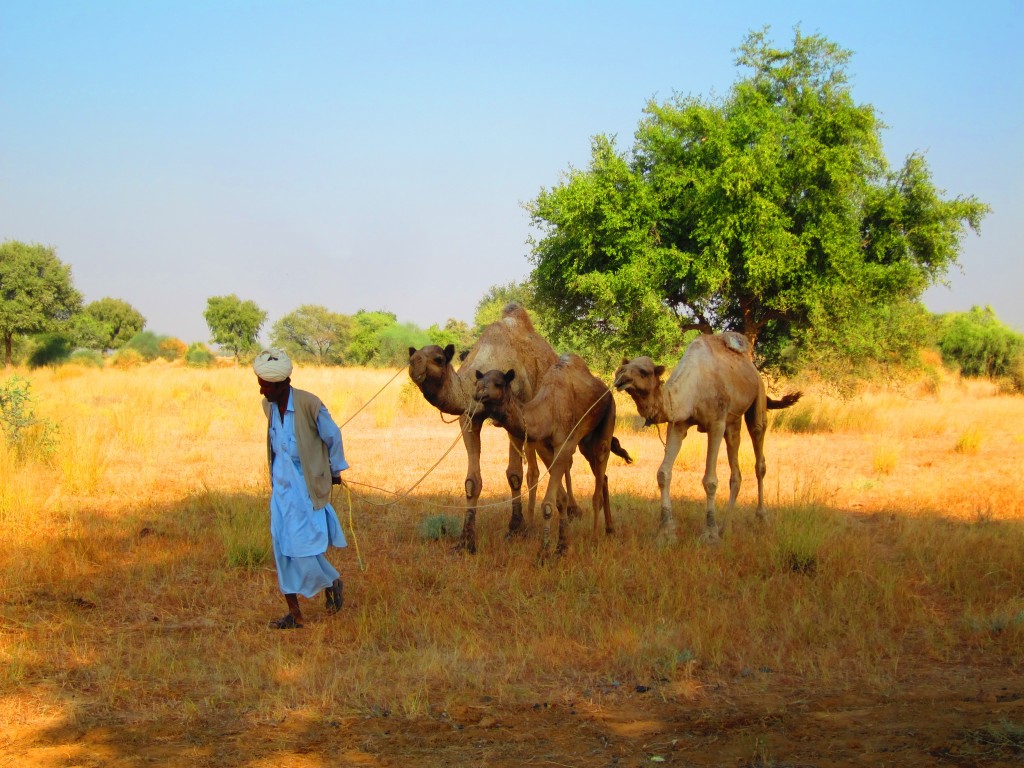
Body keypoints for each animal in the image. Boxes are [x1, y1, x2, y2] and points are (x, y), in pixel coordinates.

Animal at [407, 305, 577, 552]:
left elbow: (514, 475)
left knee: (564, 460)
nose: (414, 363)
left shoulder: (515, 416)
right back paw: (533, 521)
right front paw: (466, 541)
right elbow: (472, 482)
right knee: (537, 468)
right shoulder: (470, 418)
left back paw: (572, 511)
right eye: (413, 355)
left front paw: (514, 528)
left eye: (438, 358)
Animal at [473, 354, 630, 561]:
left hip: (607, 419)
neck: (546, 412)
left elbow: (548, 503)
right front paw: (562, 546)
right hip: (585, 443)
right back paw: (610, 529)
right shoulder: (545, 448)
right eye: (478, 382)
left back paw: (596, 539)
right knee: (602, 477)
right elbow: (560, 499)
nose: (479, 395)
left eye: (498, 383)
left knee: (598, 481)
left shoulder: (564, 445)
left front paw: (544, 552)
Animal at [610, 333, 802, 544]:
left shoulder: (716, 424)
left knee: (759, 452)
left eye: (644, 371)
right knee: (736, 472)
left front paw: (710, 533)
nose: (619, 377)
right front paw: (666, 532)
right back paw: (726, 527)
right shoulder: (678, 424)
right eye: (624, 366)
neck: (692, 388)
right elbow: (663, 474)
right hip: (733, 422)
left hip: (757, 399)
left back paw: (761, 518)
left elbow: (710, 480)